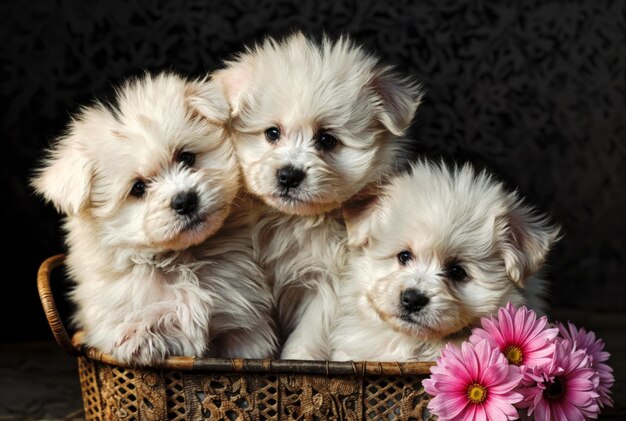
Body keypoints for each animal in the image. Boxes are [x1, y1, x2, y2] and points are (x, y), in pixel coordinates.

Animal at [31, 71, 276, 364]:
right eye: (138, 188)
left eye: (186, 157)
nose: (185, 200)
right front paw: (138, 334)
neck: (178, 259)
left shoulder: (244, 329)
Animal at [212, 32, 422, 360]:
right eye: (272, 133)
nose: (289, 175)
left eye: (327, 139)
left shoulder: (327, 284)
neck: (290, 219)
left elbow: (309, 333)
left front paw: (297, 360)